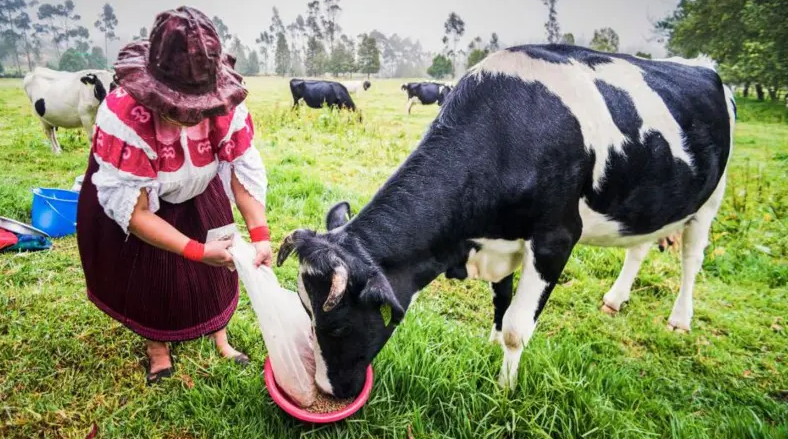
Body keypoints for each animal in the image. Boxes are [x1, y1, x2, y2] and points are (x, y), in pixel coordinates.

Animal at [276, 44, 732, 398]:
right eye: (304, 311)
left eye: (336, 327)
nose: (328, 391)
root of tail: (704, 66)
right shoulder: (498, 240)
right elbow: (500, 299)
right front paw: (490, 343)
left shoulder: (555, 239)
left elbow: (517, 326)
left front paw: (505, 389)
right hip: (651, 203)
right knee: (638, 247)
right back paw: (615, 298)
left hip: (710, 200)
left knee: (692, 260)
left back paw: (680, 319)